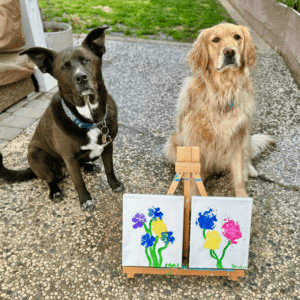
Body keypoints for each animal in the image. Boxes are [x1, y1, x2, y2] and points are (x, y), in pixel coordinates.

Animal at [0, 26, 123, 211]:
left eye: (87, 60)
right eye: (64, 67)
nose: (81, 77)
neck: (90, 119)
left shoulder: (108, 145)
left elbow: (110, 168)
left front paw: (114, 185)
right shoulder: (69, 158)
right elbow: (79, 182)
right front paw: (85, 200)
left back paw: (88, 166)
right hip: (36, 154)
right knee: (50, 179)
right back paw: (55, 191)